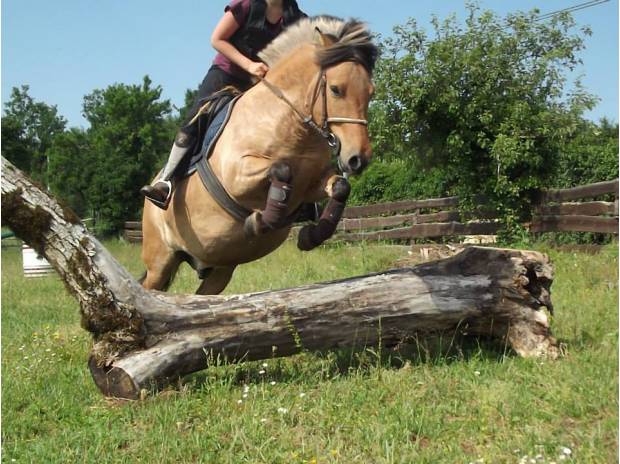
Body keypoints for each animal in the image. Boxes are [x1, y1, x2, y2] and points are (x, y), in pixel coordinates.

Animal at [142, 18, 378, 296]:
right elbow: (282, 169)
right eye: (335, 89)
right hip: (160, 259)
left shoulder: (311, 185)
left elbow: (340, 186)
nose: (358, 158)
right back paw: (159, 190)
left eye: (371, 93)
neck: (292, 125)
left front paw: (311, 236)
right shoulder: (238, 176)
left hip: (220, 271)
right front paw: (259, 221)